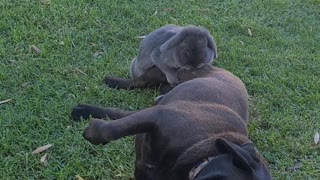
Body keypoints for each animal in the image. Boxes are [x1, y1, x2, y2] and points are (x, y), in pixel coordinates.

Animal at [72, 65, 270, 180]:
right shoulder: (159, 115)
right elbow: (111, 130)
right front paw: (93, 131)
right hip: (165, 74)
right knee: (137, 82)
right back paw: (112, 83)